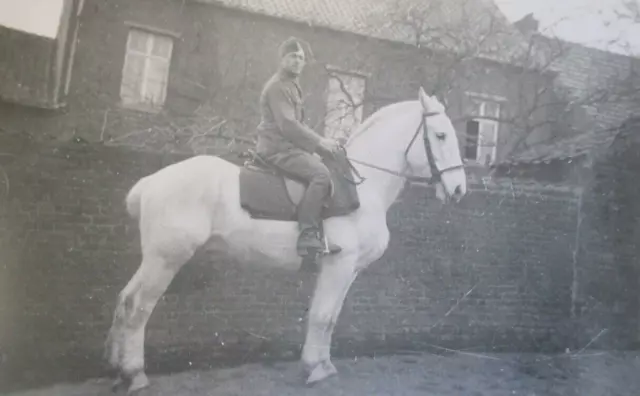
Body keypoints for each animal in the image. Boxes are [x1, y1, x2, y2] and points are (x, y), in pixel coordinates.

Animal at [104, 86, 464, 392]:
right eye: (441, 135)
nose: (460, 189)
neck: (361, 188)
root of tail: (150, 183)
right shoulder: (339, 264)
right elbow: (322, 316)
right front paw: (314, 368)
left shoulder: (348, 270)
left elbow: (329, 317)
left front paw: (323, 364)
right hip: (165, 260)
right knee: (138, 307)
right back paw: (135, 374)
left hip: (155, 260)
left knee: (124, 300)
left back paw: (117, 369)